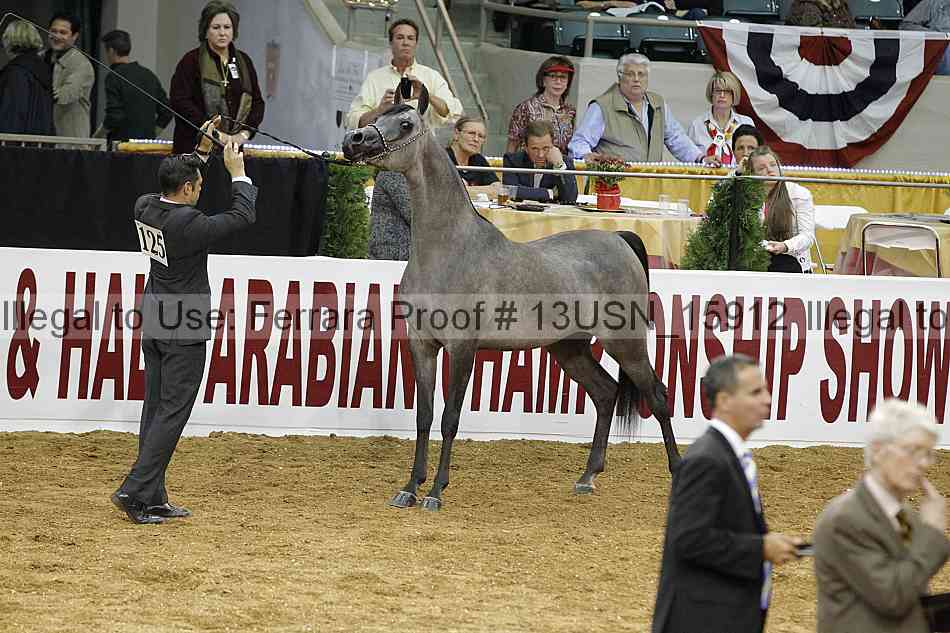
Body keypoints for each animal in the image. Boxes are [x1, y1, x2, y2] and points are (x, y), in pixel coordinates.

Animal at [342, 87, 680, 511]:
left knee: (658, 396)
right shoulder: (422, 345)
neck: (449, 250)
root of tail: (619, 239)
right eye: (379, 114)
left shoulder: (462, 349)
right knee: (605, 394)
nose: (353, 141)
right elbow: (424, 417)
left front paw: (435, 492)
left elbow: (449, 418)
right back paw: (586, 477)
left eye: (404, 123)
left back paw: (676, 473)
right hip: (568, 349)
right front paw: (410, 487)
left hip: (627, 345)